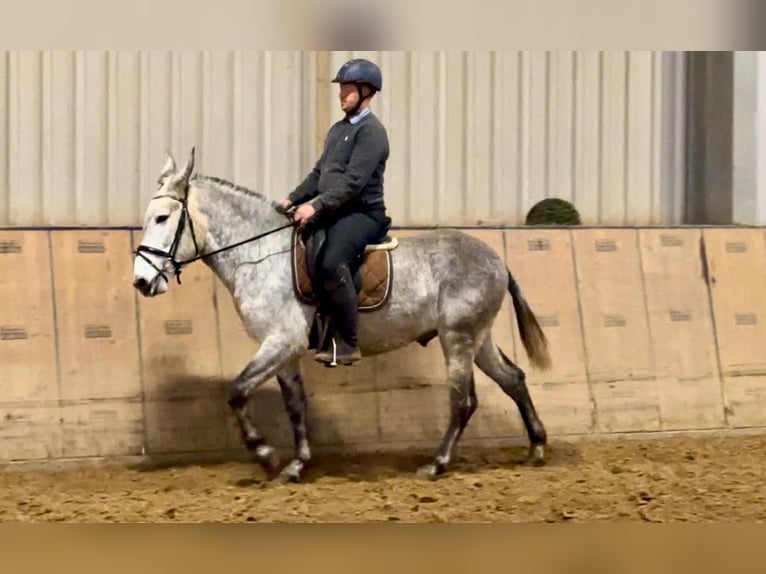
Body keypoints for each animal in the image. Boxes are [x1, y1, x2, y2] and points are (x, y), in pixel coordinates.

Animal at [132, 150, 552, 486]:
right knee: (513, 379)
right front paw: (294, 466)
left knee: (462, 401)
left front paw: (266, 456)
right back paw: (536, 448)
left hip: (458, 338)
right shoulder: (283, 349)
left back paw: (436, 464)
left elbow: (236, 391)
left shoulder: (281, 341)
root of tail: (496, 260)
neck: (259, 254)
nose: (141, 281)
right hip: (476, 338)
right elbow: (295, 405)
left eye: (163, 217)